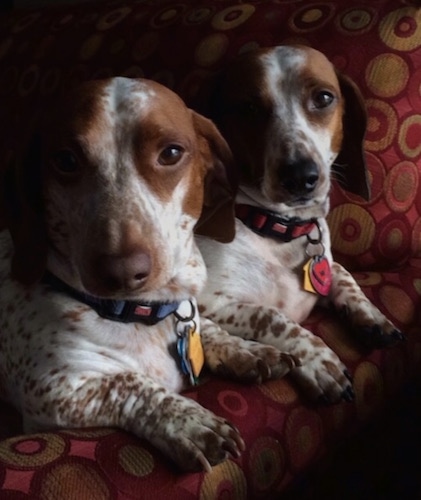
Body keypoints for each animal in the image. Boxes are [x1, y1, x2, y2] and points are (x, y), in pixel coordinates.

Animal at [0, 76, 298, 470]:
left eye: (171, 153)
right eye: (65, 160)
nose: (122, 271)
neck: (141, 313)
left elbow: (211, 329)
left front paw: (247, 350)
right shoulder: (55, 392)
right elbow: (129, 383)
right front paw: (190, 422)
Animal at [195, 44, 402, 402]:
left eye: (323, 97)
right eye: (248, 107)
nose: (300, 176)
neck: (277, 229)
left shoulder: (328, 262)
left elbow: (344, 276)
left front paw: (372, 317)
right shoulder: (212, 302)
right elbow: (271, 316)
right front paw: (318, 361)